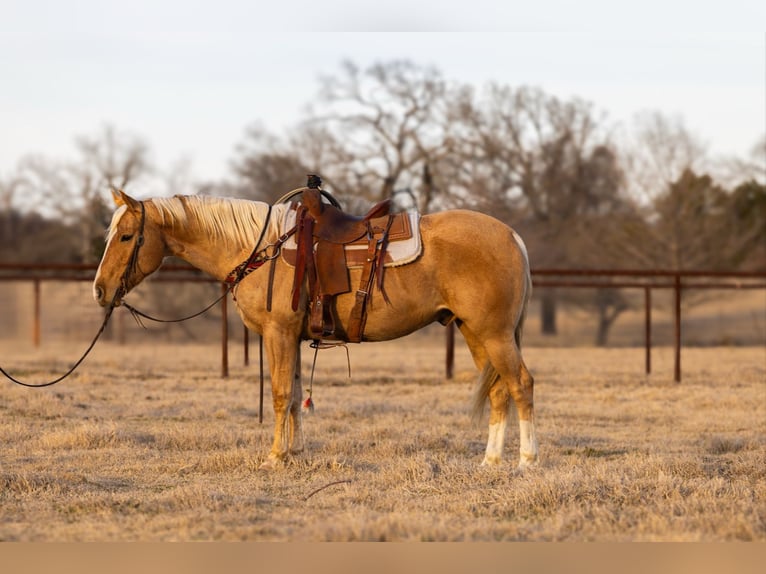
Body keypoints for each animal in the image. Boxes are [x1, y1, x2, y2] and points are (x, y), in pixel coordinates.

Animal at [93, 188, 538, 471]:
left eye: (127, 236)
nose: (99, 289)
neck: (262, 250)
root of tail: (514, 236)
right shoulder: (290, 337)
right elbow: (293, 397)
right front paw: (295, 452)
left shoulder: (278, 333)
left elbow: (279, 394)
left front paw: (275, 457)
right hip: (474, 333)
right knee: (499, 391)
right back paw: (490, 461)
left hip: (495, 334)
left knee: (521, 384)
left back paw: (527, 461)